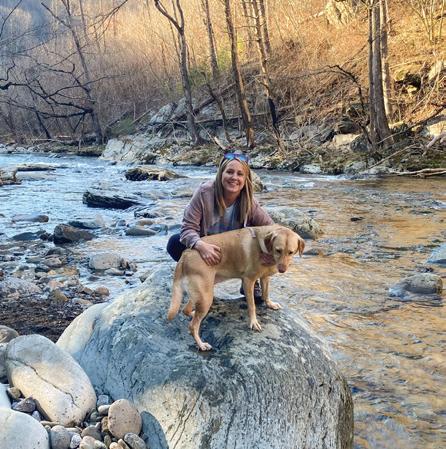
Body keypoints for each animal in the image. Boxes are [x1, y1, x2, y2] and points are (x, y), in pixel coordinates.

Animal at [167, 225, 305, 351]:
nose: (282, 269)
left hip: (202, 293)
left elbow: (266, 293)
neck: (263, 247)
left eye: (291, 252)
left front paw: (270, 304)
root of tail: (186, 254)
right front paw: (253, 322)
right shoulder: (248, 281)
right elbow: (252, 305)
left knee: (186, 309)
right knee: (192, 326)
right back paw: (201, 344)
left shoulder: (265, 277)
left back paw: (193, 313)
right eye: (278, 250)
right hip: (206, 296)